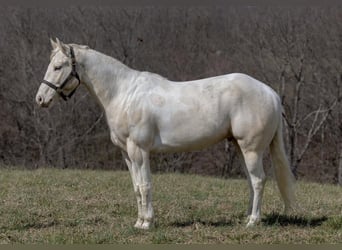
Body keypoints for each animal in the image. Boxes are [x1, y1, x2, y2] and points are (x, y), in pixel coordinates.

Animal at [36, 38, 296, 229]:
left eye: (58, 66)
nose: (40, 99)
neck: (124, 93)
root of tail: (271, 93)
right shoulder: (127, 154)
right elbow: (136, 187)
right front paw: (139, 221)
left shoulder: (139, 150)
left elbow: (145, 185)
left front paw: (147, 223)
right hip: (239, 147)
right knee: (251, 182)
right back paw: (246, 217)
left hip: (251, 149)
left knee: (259, 180)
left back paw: (253, 221)